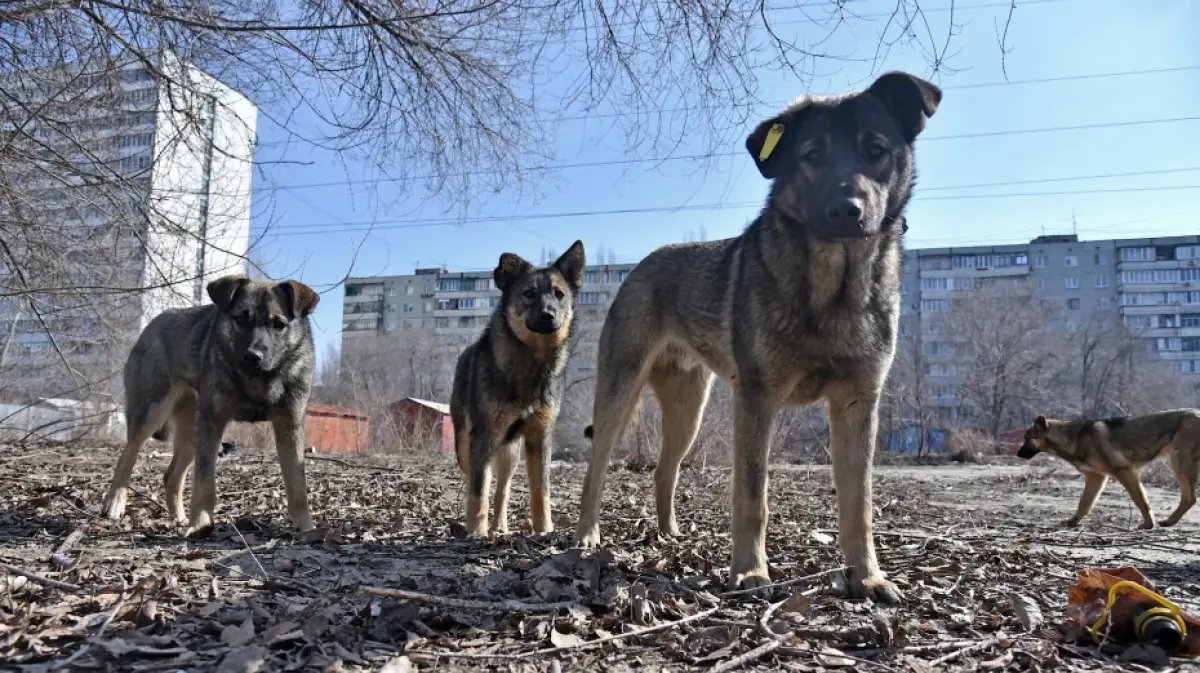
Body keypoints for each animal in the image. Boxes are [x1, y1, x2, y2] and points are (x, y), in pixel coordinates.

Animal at [103, 273, 321, 535]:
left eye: (278, 324)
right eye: (241, 319)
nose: (253, 356)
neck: (257, 380)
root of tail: (154, 321)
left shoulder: (289, 427)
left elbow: (297, 485)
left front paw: (306, 528)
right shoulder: (213, 422)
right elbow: (204, 482)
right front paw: (200, 524)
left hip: (191, 433)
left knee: (171, 476)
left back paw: (178, 518)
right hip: (152, 413)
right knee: (127, 456)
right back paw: (115, 503)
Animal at [451, 241, 585, 535]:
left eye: (559, 294)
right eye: (528, 293)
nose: (548, 315)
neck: (531, 363)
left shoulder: (539, 439)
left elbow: (541, 492)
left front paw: (545, 530)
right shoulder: (483, 437)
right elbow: (478, 491)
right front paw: (476, 533)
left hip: (510, 455)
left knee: (502, 490)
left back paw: (500, 527)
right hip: (467, 448)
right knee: (479, 483)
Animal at [576, 73, 940, 604]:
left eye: (875, 150)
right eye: (812, 154)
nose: (845, 211)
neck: (831, 290)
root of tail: (641, 265)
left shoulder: (858, 404)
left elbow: (859, 505)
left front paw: (867, 576)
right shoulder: (756, 401)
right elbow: (752, 497)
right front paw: (750, 573)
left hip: (688, 412)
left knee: (665, 470)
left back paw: (669, 535)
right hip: (619, 395)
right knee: (596, 469)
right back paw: (586, 536)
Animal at [1012, 410, 1200, 530]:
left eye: (1027, 438)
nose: (1017, 454)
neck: (1074, 437)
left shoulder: (1125, 472)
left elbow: (1141, 501)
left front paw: (1148, 524)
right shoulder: (1096, 478)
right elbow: (1084, 503)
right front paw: (1074, 521)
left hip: (1180, 465)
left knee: (1190, 498)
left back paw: (1170, 520)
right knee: (1189, 498)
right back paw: (1171, 521)